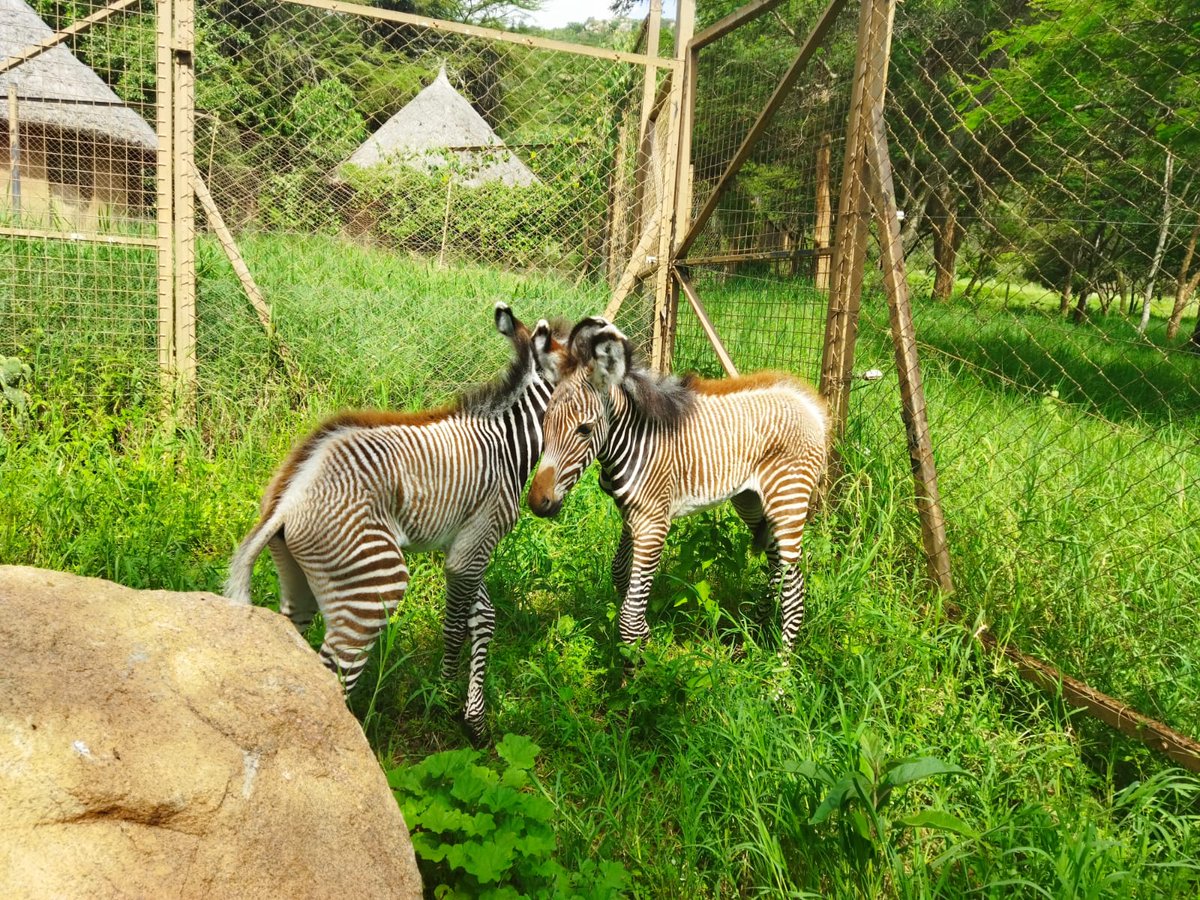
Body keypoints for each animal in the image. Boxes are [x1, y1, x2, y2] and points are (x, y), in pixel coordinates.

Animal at [224, 303, 570, 741]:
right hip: (370, 583)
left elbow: (483, 618)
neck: (508, 443)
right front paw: (443, 697)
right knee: (334, 675)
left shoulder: (463, 546)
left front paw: (472, 717)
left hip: (298, 579)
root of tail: (288, 502)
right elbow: (457, 624)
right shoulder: (478, 538)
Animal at [527, 319, 828, 655]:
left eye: (584, 429)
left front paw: (643, 662)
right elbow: (621, 576)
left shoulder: (653, 524)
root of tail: (809, 403)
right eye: (545, 422)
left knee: (794, 584)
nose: (537, 502)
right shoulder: (632, 516)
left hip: (787, 499)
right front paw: (643, 638)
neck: (633, 440)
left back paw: (779, 663)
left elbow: (628, 615)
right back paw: (755, 635)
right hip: (752, 501)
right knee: (778, 568)